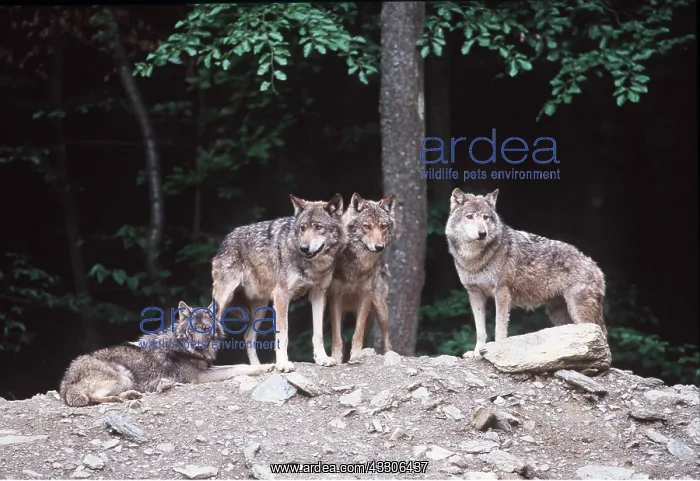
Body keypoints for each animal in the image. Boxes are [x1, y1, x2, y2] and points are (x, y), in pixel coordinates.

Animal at [59, 301, 273, 407]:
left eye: (205, 328)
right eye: (191, 330)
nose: (197, 346)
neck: (181, 346)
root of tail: (66, 382)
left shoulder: (209, 367)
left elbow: (239, 365)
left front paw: (265, 366)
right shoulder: (199, 376)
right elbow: (237, 368)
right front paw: (262, 368)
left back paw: (129, 396)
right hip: (122, 377)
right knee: (90, 397)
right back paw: (119, 399)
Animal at [211, 194, 347, 372]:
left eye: (318, 227)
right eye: (303, 228)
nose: (304, 248)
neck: (313, 265)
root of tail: (226, 239)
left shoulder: (319, 294)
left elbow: (318, 333)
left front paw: (322, 358)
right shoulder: (282, 295)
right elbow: (283, 334)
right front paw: (283, 363)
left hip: (261, 309)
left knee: (248, 337)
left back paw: (259, 367)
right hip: (224, 300)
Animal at [328, 193, 396, 364]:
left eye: (383, 226)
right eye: (367, 226)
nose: (379, 247)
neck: (356, 264)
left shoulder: (366, 295)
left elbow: (358, 332)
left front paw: (357, 355)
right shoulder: (335, 297)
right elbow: (337, 337)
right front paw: (336, 358)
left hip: (380, 308)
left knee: (386, 337)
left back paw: (390, 355)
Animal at [445, 188, 607, 357]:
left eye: (485, 217)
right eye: (469, 216)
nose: (482, 233)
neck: (474, 258)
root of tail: (596, 267)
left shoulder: (502, 293)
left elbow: (499, 328)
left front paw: (497, 352)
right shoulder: (475, 294)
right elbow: (480, 331)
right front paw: (477, 353)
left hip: (579, 314)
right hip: (560, 317)